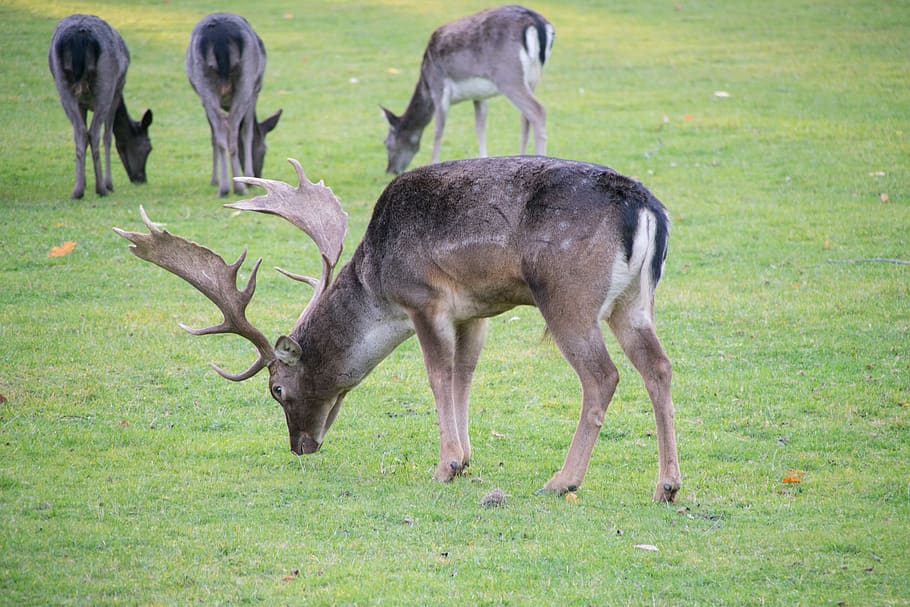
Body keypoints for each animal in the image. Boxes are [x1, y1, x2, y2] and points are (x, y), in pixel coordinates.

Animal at [48, 14, 153, 199]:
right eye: (148, 148)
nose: (141, 179)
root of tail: (79, 38)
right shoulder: (117, 90)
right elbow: (109, 136)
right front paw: (109, 183)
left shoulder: (82, 103)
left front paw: (84, 181)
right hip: (106, 81)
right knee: (95, 132)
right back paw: (102, 188)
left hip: (61, 83)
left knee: (81, 132)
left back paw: (77, 191)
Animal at [114, 155, 681, 502]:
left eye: (276, 389)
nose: (300, 446)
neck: (378, 283)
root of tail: (648, 209)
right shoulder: (475, 311)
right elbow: (465, 376)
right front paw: (466, 459)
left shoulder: (424, 299)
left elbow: (437, 376)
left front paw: (446, 466)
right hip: (634, 302)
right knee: (659, 366)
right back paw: (668, 486)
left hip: (567, 296)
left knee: (602, 376)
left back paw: (562, 481)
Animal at [186, 13, 282, 197]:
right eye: (264, 150)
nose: (259, 176)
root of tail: (220, 37)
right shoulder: (255, 91)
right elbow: (247, 132)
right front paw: (249, 177)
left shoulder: (202, 101)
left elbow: (213, 137)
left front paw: (214, 180)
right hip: (247, 79)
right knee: (233, 129)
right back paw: (238, 187)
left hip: (203, 83)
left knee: (221, 132)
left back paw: (224, 187)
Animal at [381, 5, 555, 174]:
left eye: (386, 142)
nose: (390, 170)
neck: (426, 83)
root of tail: (537, 22)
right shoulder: (479, 96)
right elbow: (480, 127)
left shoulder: (439, 85)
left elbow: (438, 130)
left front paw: (432, 164)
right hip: (532, 78)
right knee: (525, 117)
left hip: (508, 75)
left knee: (538, 110)